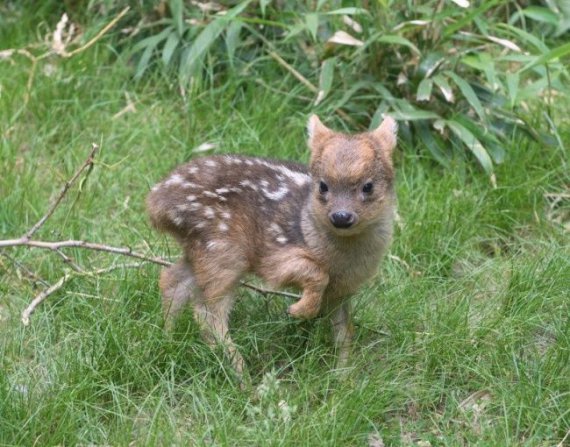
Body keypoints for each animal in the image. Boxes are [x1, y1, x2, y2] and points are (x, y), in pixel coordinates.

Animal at [146, 114, 394, 374]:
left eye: (368, 186)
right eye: (323, 186)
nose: (341, 217)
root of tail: (156, 204)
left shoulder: (344, 290)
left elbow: (345, 331)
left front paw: (343, 374)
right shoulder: (275, 256)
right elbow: (316, 274)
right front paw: (298, 310)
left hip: (201, 248)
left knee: (172, 280)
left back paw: (167, 339)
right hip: (224, 249)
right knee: (207, 313)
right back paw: (242, 375)